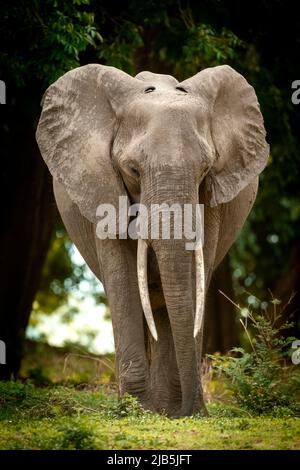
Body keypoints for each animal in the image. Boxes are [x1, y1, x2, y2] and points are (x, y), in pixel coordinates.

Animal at [35, 63, 270, 418]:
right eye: (133, 170)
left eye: (205, 171)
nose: (195, 412)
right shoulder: (103, 188)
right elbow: (124, 282)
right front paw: (134, 411)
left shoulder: (212, 200)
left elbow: (190, 277)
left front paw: (175, 412)